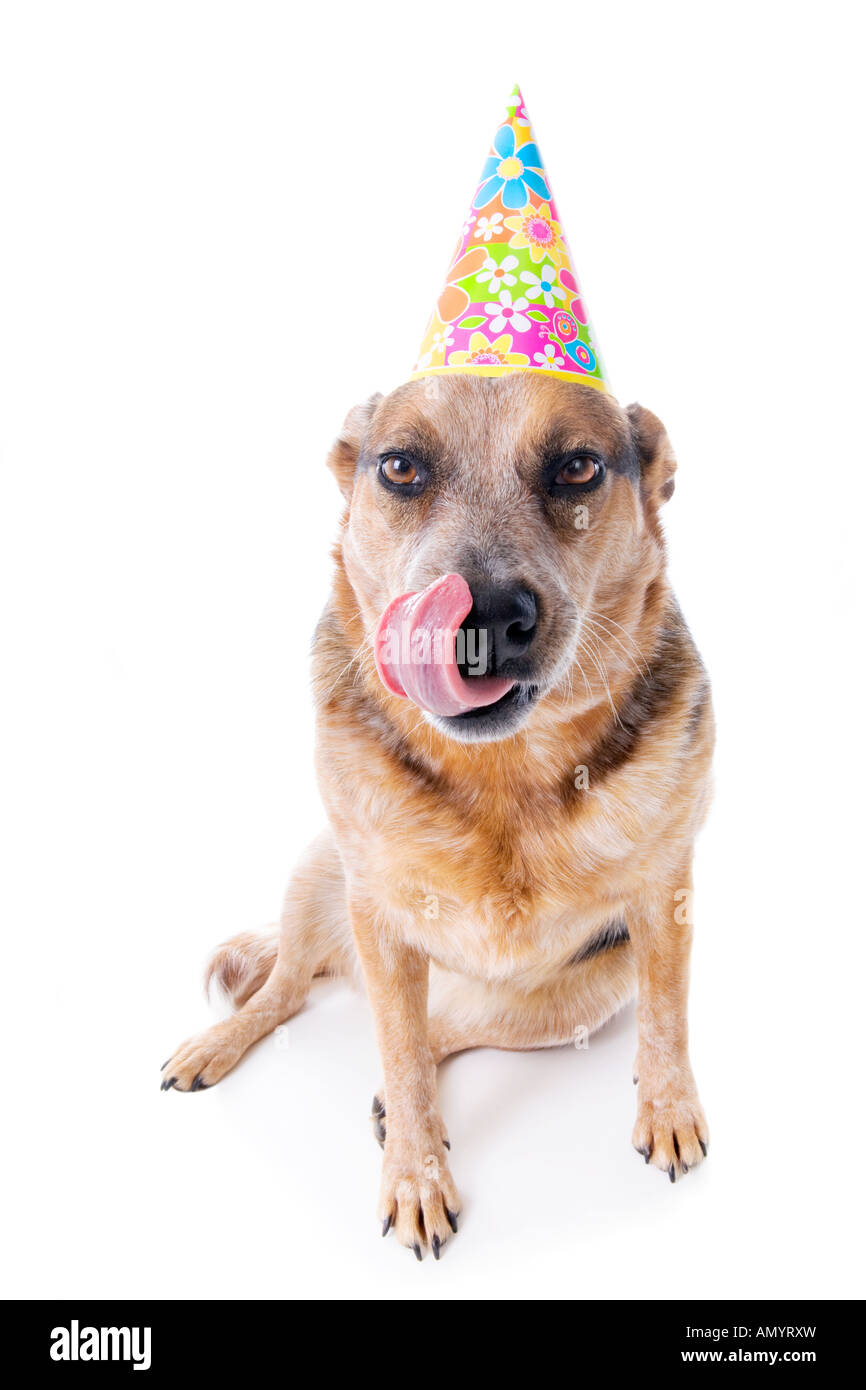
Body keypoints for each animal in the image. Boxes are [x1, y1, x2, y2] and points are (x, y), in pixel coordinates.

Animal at [161, 372, 711, 1262]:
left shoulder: (667, 897)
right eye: (399, 467)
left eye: (579, 466)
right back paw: (223, 1042)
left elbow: (667, 1020)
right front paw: (417, 1175)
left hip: (584, 992)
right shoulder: (377, 912)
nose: (480, 618)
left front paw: (668, 1108)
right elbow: (396, 1047)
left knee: (442, 1026)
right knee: (293, 994)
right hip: (317, 872)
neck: (502, 771)